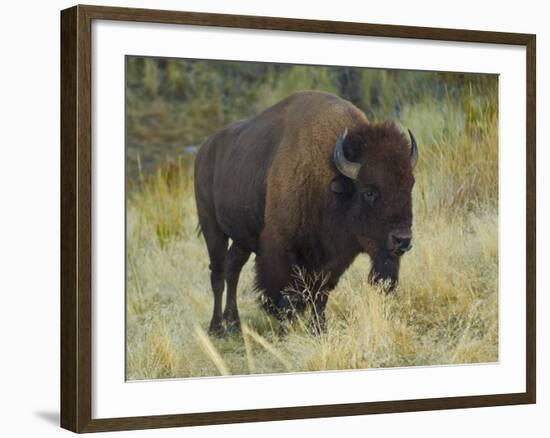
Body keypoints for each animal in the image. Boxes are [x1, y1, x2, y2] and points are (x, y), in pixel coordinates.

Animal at [194, 90, 418, 336]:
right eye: (369, 191)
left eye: (410, 185)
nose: (402, 240)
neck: (330, 180)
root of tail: (203, 151)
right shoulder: (282, 248)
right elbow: (286, 293)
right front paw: (285, 331)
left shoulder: (333, 259)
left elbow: (320, 293)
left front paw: (319, 329)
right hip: (212, 227)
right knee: (218, 273)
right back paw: (216, 328)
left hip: (243, 237)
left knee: (233, 268)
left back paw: (234, 323)